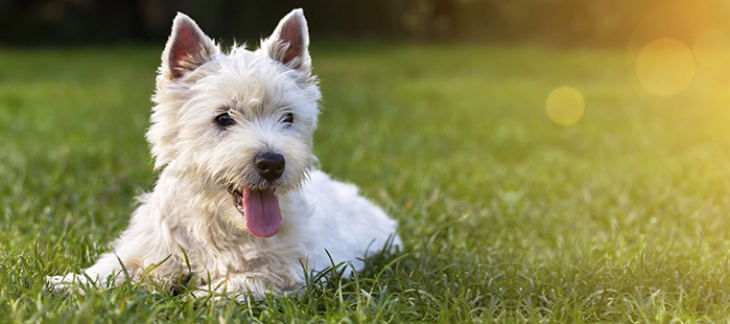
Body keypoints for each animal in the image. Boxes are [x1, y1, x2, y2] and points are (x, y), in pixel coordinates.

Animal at [48, 8, 400, 302]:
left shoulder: (294, 272)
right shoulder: (153, 250)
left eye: (287, 117)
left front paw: (194, 299)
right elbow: (115, 267)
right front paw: (66, 283)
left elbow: (241, 281)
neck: (222, 224)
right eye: (223, 118)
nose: (272, 163)